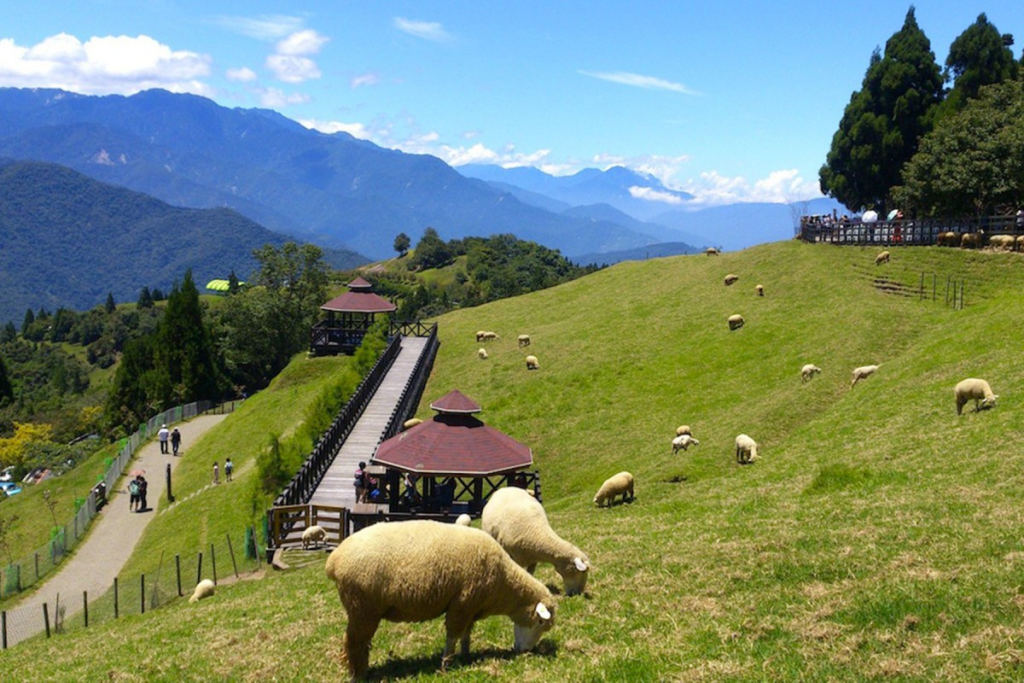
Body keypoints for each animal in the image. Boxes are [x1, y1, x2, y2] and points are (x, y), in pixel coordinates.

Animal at [325, 520, 552, 679]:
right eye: (541, 622)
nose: (525, 652)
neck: (503, 582)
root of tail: (334, 560)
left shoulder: (471, 607)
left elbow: (466, 634)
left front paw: (466, 655)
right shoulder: (462, 603)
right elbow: (452, 635)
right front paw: (446, 664)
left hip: (362, 609)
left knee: (360, 643)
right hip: (362, 608)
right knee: (354, 642)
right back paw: (359, 675)